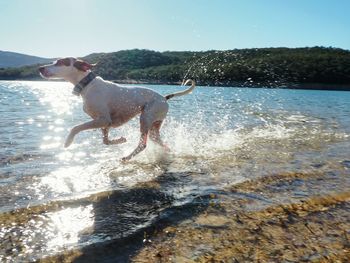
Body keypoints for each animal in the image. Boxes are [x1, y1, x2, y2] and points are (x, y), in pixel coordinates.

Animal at [40, 57, 197, 161]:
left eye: (60, 62)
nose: (40, 68)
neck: (88, 85)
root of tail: (164, 98)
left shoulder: (103, 120)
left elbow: (76, 127)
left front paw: (68, 142)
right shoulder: (105, 123)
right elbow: (105, 141)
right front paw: (120, 140)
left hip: (145, 118)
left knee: (143, 144)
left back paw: (127, 157)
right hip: (153, 127)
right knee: (159, 143)